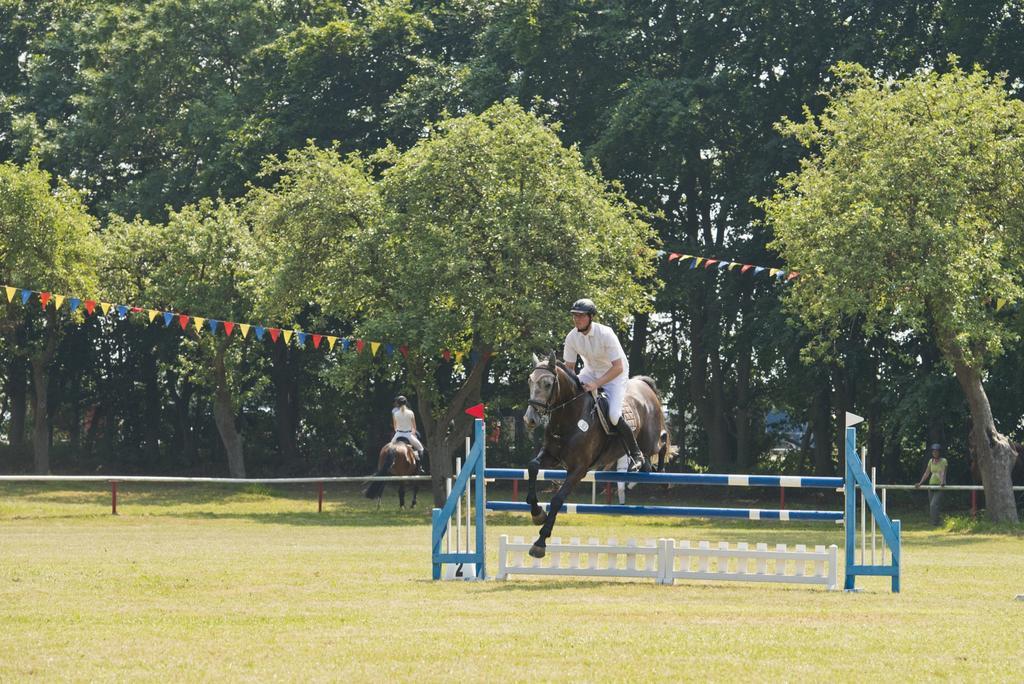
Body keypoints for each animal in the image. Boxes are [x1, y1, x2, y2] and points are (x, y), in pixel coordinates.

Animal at [520, 356, 671, 557]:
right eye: (530, 381)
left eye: (547, 384)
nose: (529, 419)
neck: (569, 417)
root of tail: (643, 383)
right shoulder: (551, 456)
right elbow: (533, 466)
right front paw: (537, 513)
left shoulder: (578, 470)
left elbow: (557, 500)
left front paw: (540, 542)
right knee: (646, 459)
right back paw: (638, 468)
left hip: (650, 440)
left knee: (663, 442)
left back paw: (663, 478)